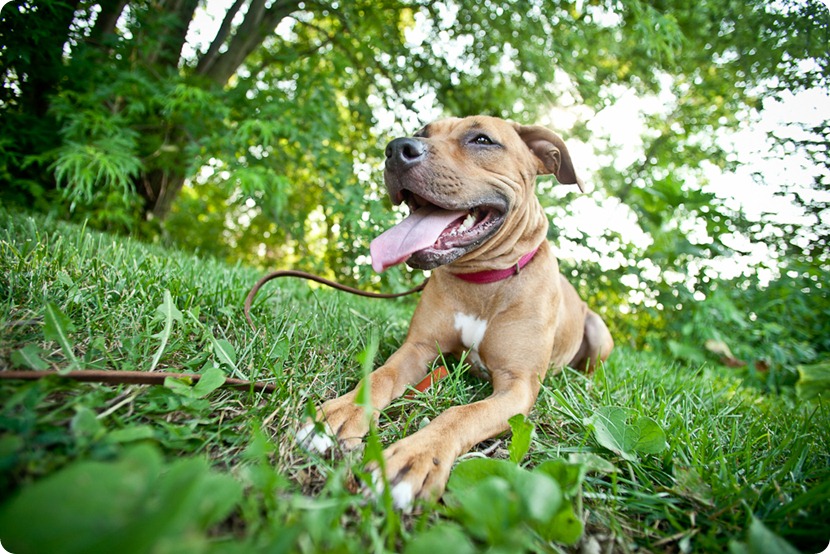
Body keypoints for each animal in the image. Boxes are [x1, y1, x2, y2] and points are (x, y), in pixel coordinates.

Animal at [296, 115, 616, 508]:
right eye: (422, 133)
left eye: (482, 140)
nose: (396, 149)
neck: (483, 281)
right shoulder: (418, 348)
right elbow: (382, 375)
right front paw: (342, 412)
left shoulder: (517, 386)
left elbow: (462, 415)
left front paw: (415, 457)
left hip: (598, 330)